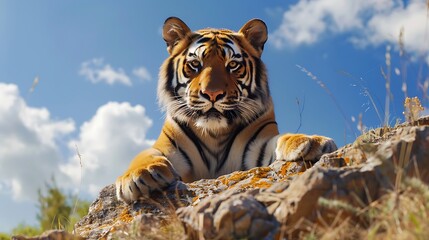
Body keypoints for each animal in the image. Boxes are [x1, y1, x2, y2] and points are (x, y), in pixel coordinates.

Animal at [115, 16, 336, 203]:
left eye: (233, 65)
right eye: (195, 64)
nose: (212, 94)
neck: (214, 132)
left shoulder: (257, 144)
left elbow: (280, 139)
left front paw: (311, 141)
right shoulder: (169, 148)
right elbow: (145, 154)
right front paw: (141, 175)